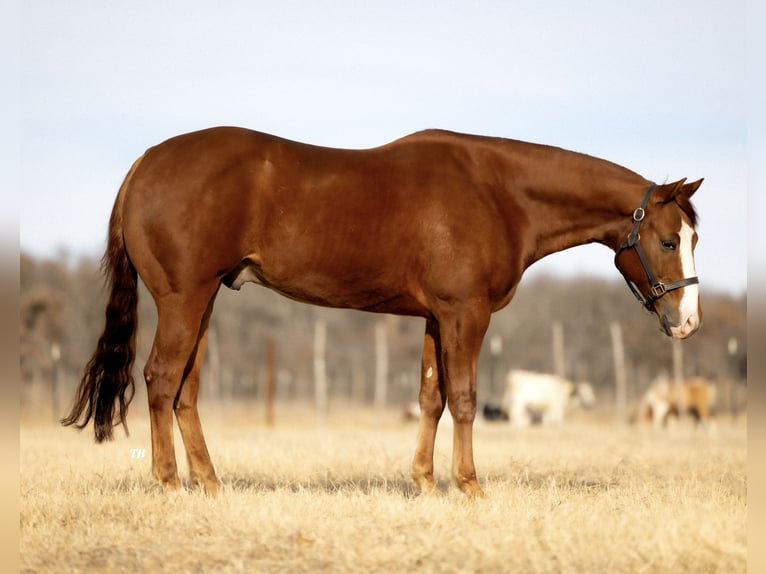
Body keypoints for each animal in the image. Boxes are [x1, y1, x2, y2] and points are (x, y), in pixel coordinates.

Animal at [63, 128, 704, 498]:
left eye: (695, 238)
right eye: (670, 240)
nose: (688, 321)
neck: (497, 192)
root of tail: (145, 162)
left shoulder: (436, 317)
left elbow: (431, 397)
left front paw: (424, 483)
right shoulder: (466, 314)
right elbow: (464, 399)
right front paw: (469, 487)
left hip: (205, 299)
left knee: (185, 392)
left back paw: (211, 484)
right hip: (183, 297)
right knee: (160, 380)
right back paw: (171, 485)